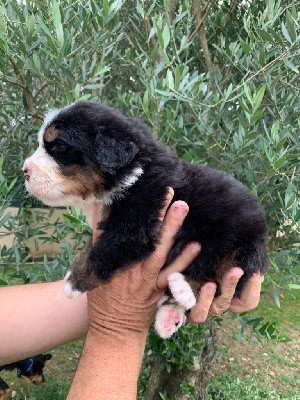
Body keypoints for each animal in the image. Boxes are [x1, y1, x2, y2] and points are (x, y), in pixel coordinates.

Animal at [22, 102, 268, 338]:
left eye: (59, 147)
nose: (24, 170)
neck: (133, 173)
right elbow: (91, 246)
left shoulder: (135, 227)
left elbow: (101, 252)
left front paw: (73, 282)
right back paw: (169, 317)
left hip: (239, 241)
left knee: (220, 272)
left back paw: (185, 289)